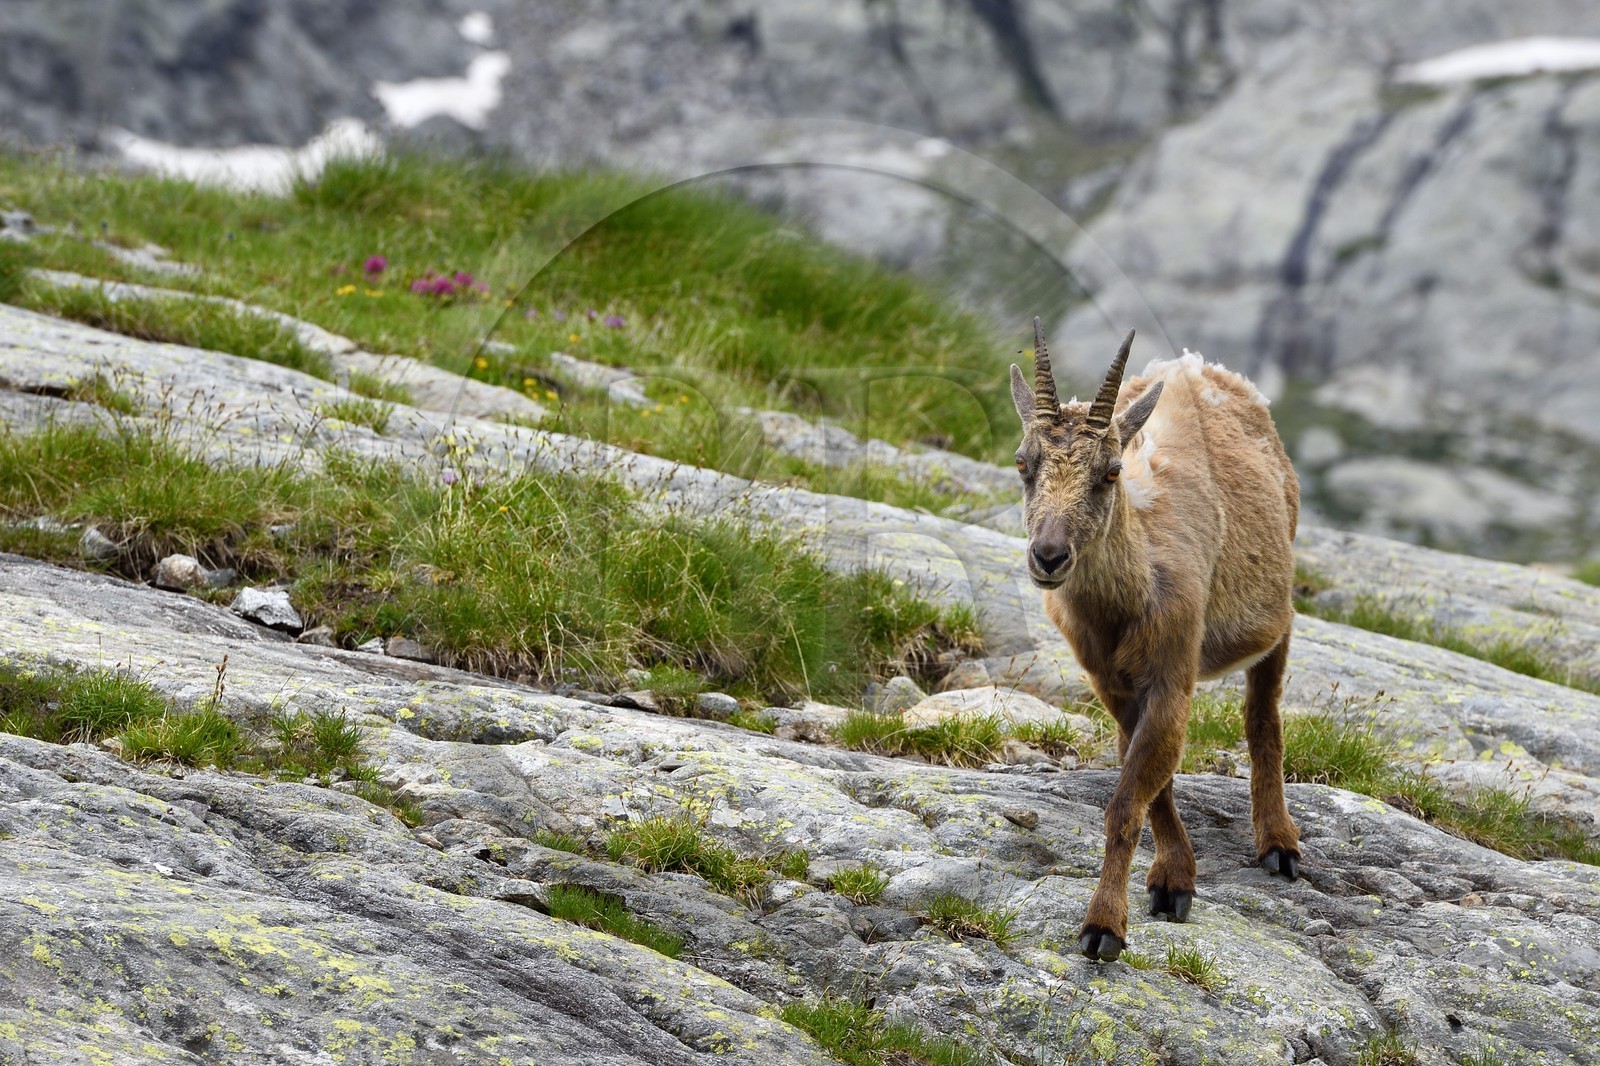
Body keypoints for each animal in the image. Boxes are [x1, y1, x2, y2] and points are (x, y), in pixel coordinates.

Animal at [1009, 318, 1300, 962]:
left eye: (1111, 471)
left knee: (1262, 717)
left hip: (1280, 613)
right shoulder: (1113, 685)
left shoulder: (1172, 673)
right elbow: (1150, 783)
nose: (1049, 556)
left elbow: (1126, 803)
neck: (1127, 600)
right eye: (1023, 463)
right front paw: (1173, 882)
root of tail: (1193, 364)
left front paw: (1103, 929)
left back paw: (1280, 845)